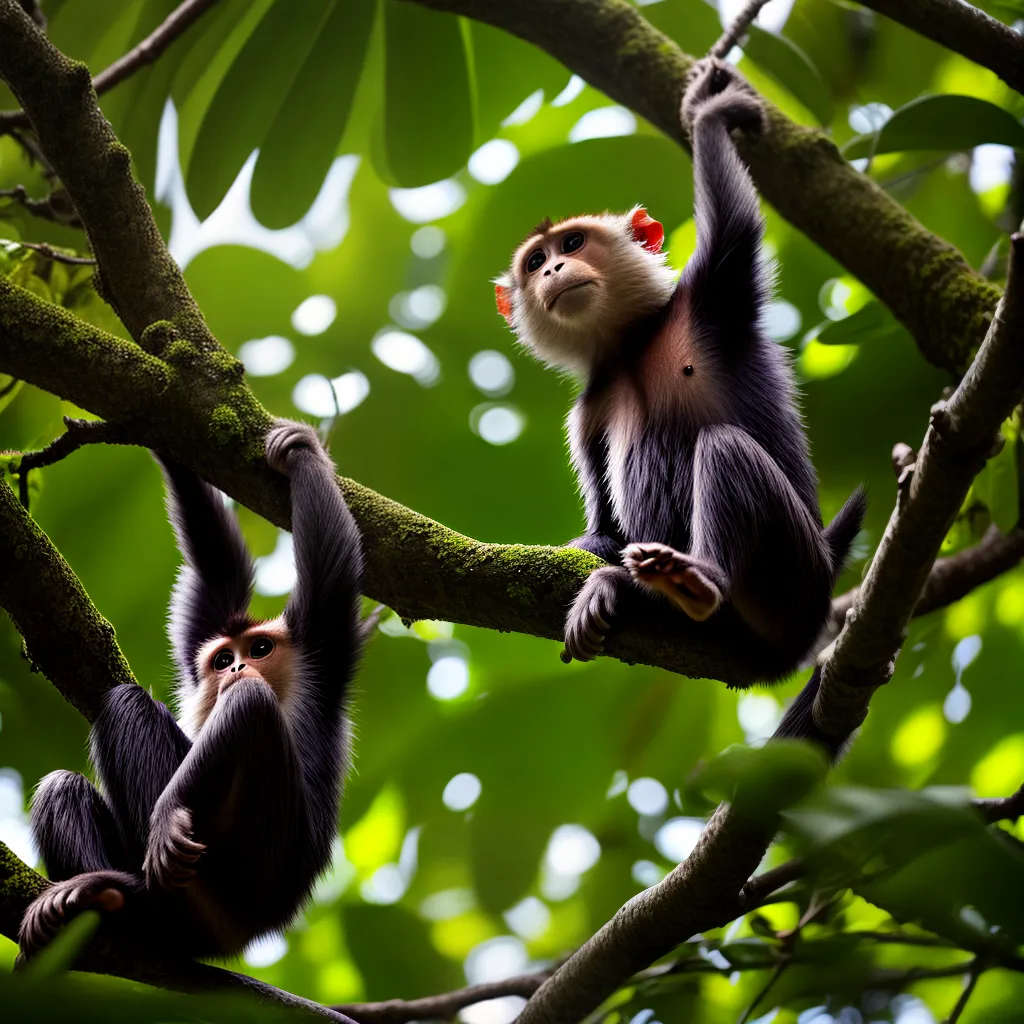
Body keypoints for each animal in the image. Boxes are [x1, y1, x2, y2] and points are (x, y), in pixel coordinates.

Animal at [19, 421, 366, 957]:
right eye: (223, 659)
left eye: (260, 649)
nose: (237, 668)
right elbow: (216, 569)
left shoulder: (323, 647)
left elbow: (332, 562)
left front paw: (300, 450)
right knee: (61, 786)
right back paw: (107, 900)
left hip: (241, 864)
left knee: (230, 704)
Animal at [493, 59, 865, 753]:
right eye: (535, 262)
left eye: (573, 243)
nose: (553, 269)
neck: (631, 345)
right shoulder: (585, 413)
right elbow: (607, 527)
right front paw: (591, 549)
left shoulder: (711, 292)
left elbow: (736, 218)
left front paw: (710, 114)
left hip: (796, 577)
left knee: (724, 448)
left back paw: (694, 581)